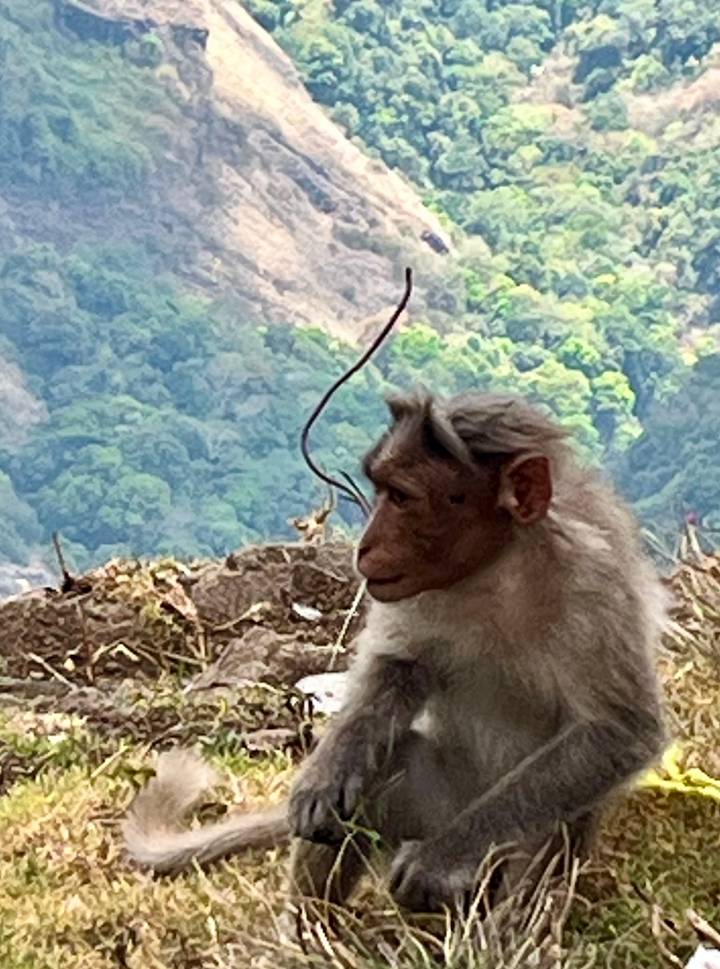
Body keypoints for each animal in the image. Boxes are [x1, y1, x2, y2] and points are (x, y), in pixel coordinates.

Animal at [123, 389, 668, 915]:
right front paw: (326, 776)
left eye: (402, 497)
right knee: (381, 772)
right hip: (427, 804)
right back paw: (309, 928)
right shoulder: (407, 592)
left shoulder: (596, 586)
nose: (365, 547)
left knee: (546, 834)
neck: (494, 574)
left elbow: (620, 730)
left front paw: (440, 859)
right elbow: (396, 668)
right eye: (381, 489)